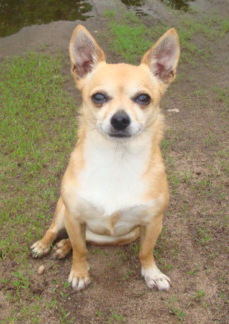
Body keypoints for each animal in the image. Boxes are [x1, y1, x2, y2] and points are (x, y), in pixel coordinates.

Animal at [31, 26, 180, 292]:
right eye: (98, 97)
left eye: (143, 98)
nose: (120, 119)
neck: (116, 160)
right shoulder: (73, 216)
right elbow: (81, 251)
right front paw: (80, 273)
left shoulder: (153, 223)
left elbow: (145, 252)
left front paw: (152, 274)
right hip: (62, 211)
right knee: (58, 231)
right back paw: (45, 244)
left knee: (84, 240)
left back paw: (63, 247)